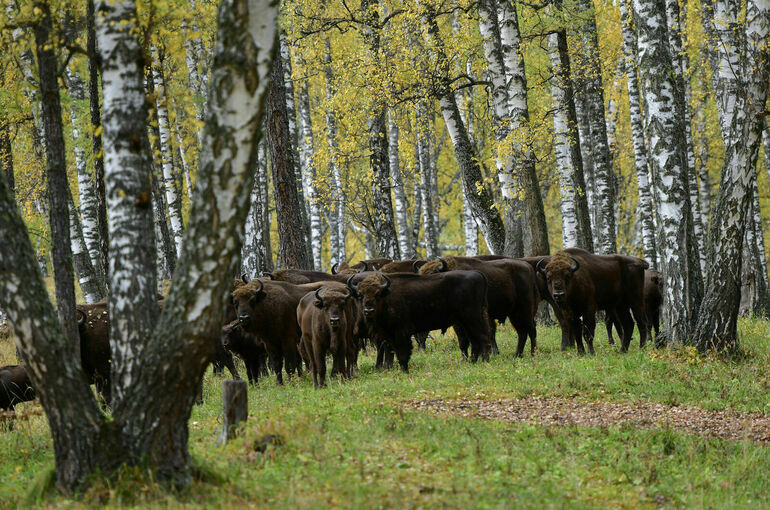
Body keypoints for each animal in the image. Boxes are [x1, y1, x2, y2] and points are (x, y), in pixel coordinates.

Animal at [346, 270, 488, 370]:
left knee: (482, 338)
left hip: (472, 319)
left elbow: (402, 353)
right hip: (465, 322)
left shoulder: (401, 333)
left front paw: (405, 371)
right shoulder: (387, 335)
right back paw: (473, 362)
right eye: (360, 295)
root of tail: (478, 275)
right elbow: (391, 354)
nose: (368, 310)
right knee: (475, 341)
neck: (387, 295)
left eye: (377, 294)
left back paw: (485, 361)